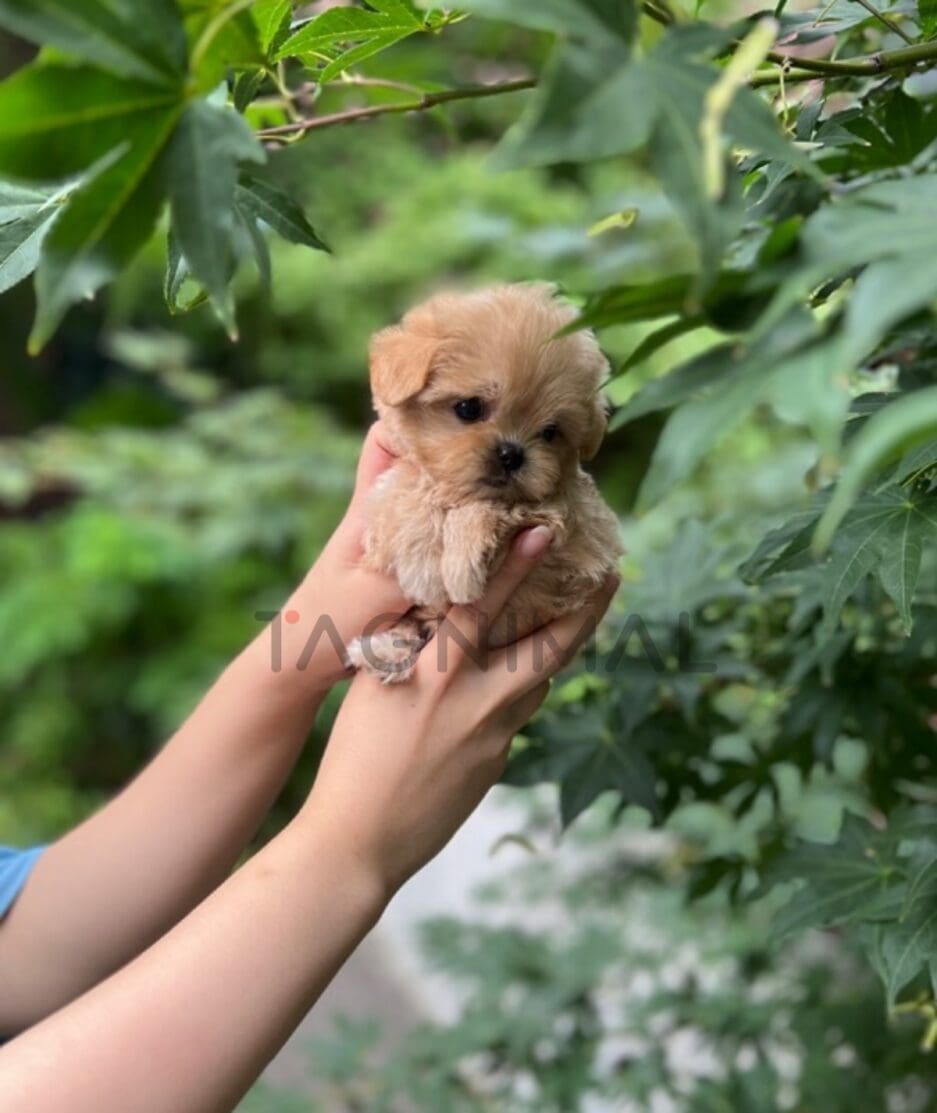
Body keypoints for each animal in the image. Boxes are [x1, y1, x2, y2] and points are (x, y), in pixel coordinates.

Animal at [346, 283, 622, 682]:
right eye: (469, 408)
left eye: (550, 432)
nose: (512, 453)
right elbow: (408, 490)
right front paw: (425, 556)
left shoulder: (570, 529)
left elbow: (492, 507)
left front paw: (459, 562)